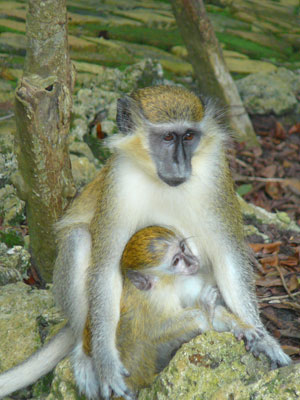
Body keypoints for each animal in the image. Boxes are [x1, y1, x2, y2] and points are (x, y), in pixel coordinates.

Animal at [82, 227, 255, 396]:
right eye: (176, 261)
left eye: (183, 247)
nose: (192, 261)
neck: (164, 283)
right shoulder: (156, 300)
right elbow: (154, 332)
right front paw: (205, 310)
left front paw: (240, 327)